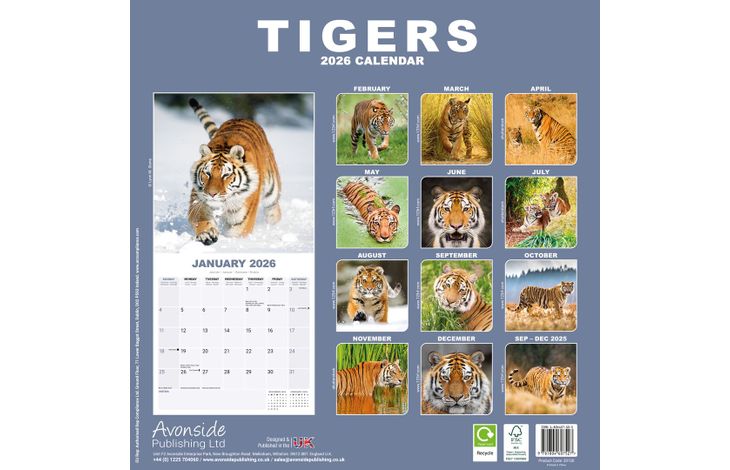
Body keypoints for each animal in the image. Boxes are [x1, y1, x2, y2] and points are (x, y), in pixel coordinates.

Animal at [187, 98, 282, 245]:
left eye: (226, 175)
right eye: (207, 173)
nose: (212, 194)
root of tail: (242, 118)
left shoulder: (242, 219)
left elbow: (236, 234)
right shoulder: (198, 199)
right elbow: (201, 220)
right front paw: (206, 234)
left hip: (272, 189)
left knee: (273, 208)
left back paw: (274, 226)